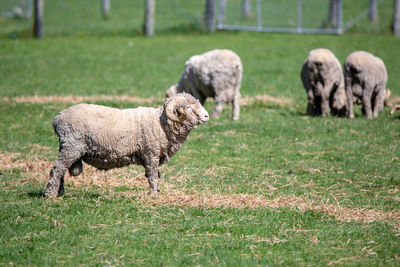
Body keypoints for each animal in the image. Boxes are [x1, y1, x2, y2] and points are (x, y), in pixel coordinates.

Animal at [44, 93, 209, 198]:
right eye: (188, 107)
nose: (207, 116)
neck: (161, 123)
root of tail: (57, 119)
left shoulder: (154, 155)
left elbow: (157, 175)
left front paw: (157, 192)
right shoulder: (150, 154)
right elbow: (152, 175)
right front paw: (153, 195)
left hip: (67, 148)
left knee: (60, 170)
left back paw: (59, 193)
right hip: (71, 147)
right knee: (57, 170)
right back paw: (50, 194)